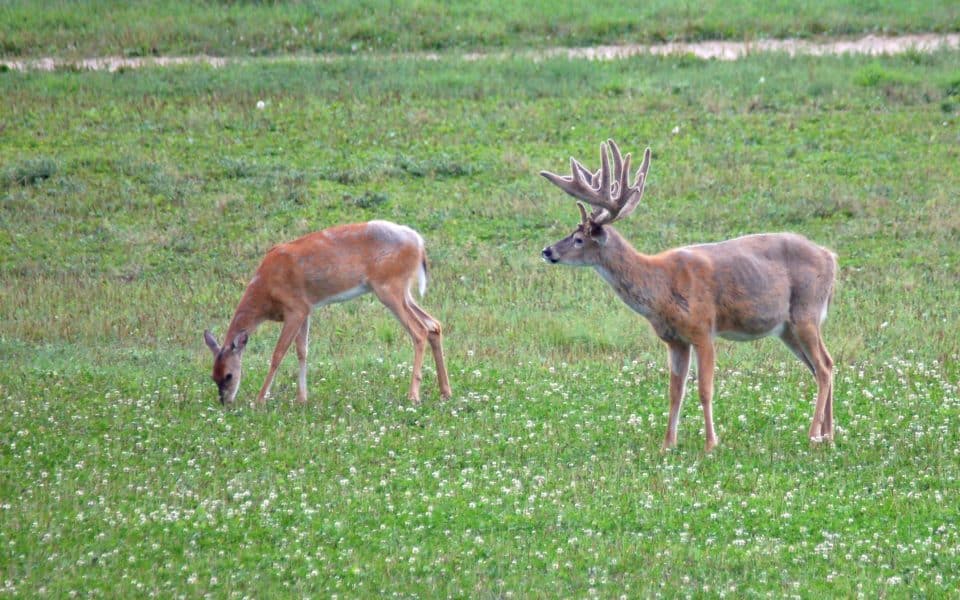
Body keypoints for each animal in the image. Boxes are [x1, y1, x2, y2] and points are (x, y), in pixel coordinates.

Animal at [202, 220, 450, 408]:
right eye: (213, 375)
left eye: (228, 375)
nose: (225, 402)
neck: (265, 290)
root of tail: (419, 243)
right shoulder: (306, 310)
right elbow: (302, 352)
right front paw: (302, 399)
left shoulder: (295, 308)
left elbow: (278, 354)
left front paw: (260, 399)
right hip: (402, 291)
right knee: (433, 325)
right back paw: (445, 391)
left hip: (389, 287)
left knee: (419, 331)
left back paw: (413, 395)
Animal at [544, 141, 836, 450]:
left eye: (579, 239)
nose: (547, 251)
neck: (659, 288)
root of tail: (831, 257)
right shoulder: (674, 340)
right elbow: (675, 392)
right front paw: (667, 445)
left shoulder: (703, 329)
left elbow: (705, 389)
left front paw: (710, 444)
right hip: (787, 328)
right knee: (824, 364)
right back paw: (829, 433)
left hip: (806, 311)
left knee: (823, 368)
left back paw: (813, 434)